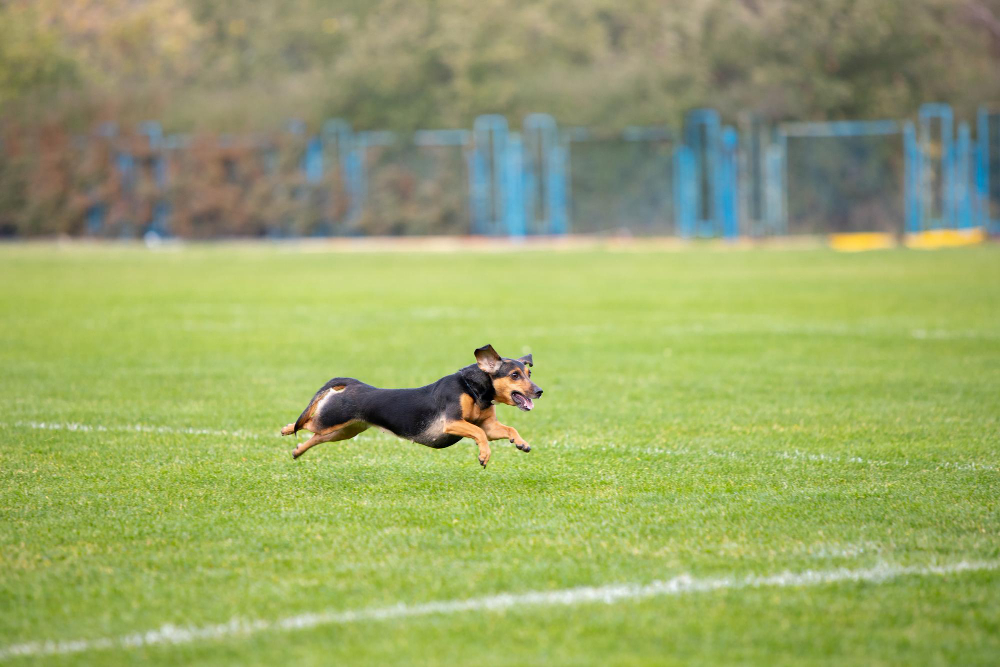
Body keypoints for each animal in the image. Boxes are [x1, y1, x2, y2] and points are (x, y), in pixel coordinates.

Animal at [278, 344, 544, 470]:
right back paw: (286, 429)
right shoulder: (452, 423)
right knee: (307, 424)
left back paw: (297, 451)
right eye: (514, 375)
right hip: (332, 421)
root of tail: (354, 384)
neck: (473, 389)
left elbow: (507, 429)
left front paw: (521, 443)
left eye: (529, 373)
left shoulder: (489, 426)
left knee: (313, 437)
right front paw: (484, 455)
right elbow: (478, 434)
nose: (539, 391)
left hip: (344, 431)